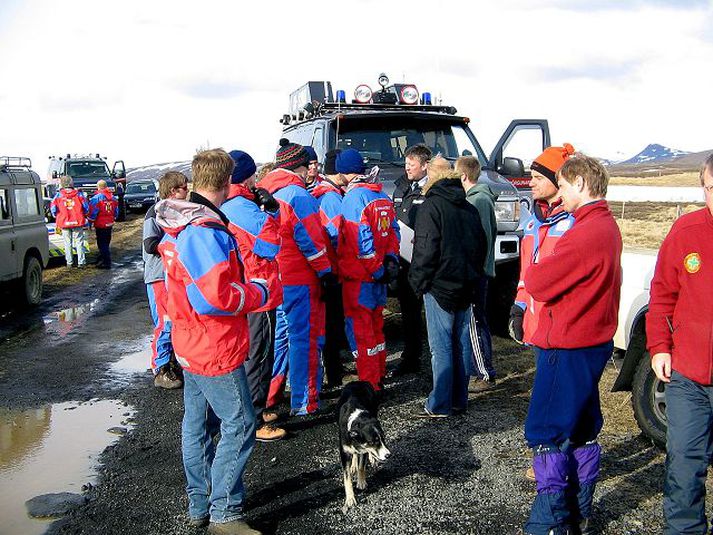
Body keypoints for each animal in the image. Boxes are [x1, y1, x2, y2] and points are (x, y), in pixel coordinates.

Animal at [338, 382, 392, 510]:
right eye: (372, 442)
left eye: (383, 438)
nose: (388, 455)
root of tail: (358, 381)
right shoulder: (344, 452)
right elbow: (347, 478)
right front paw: (350, 499)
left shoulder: (364, 449)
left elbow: (362, 466)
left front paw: (361, 482)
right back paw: (353, 465)